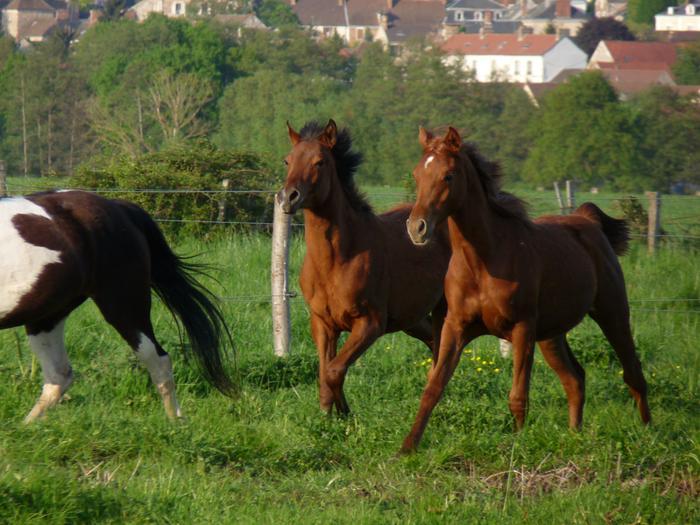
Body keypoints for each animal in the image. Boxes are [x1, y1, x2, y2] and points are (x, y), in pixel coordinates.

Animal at [0, 190, 235, 420]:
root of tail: (120, 208)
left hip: (124, 306)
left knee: (159, 361)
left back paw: (174, 424)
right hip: (47, 317)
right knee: (59, 376)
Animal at [276, 121, 452, 416]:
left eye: (320, 162)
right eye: (287, 160)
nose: (288, 197)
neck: (337, 262)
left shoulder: (370, 324)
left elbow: (334, 370)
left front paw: (345, 414)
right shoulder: (322, 323)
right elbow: (325, 372)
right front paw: (327, 416)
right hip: (412, 319)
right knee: (433, 345)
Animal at [402, 126, 652, 450]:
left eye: (448, 175)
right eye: (417, 174)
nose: (416, 228)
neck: (484, 260)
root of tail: (587, 220)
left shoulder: (521, 328)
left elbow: (518, 396)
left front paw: (517, 446)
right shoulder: (455, 327)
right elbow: (432, 388)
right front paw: (406, 449)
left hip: (613, 314)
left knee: (633, 374)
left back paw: (647, 433)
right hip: (551, 335)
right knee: (575, 379)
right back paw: (574, 435)